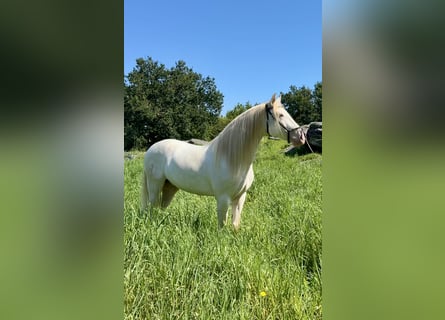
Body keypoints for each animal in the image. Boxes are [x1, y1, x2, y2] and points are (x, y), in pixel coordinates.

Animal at [140, 94, 304, 229]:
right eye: (280, 115)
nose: (301, 136)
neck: (232, 158)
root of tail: (151, 149)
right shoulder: (223, 198)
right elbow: (222, 226)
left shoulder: (240, 197)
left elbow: (235, 225)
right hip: (155, 185)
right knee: (151, 208)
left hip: (170, 187)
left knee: (160, 208)